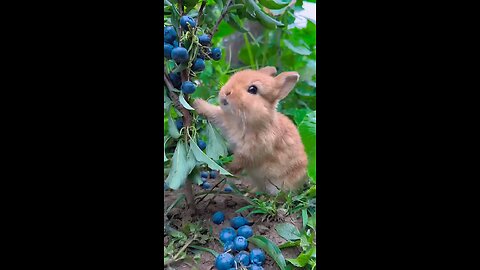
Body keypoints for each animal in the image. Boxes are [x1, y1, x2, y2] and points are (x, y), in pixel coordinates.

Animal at [193, 66, 310, 195]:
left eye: (253, 89)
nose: (226, 92)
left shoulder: (250, 151)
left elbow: (240, 162)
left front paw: (228, 169)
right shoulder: (225, 120)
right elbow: (214, 112)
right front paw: (197, 103)